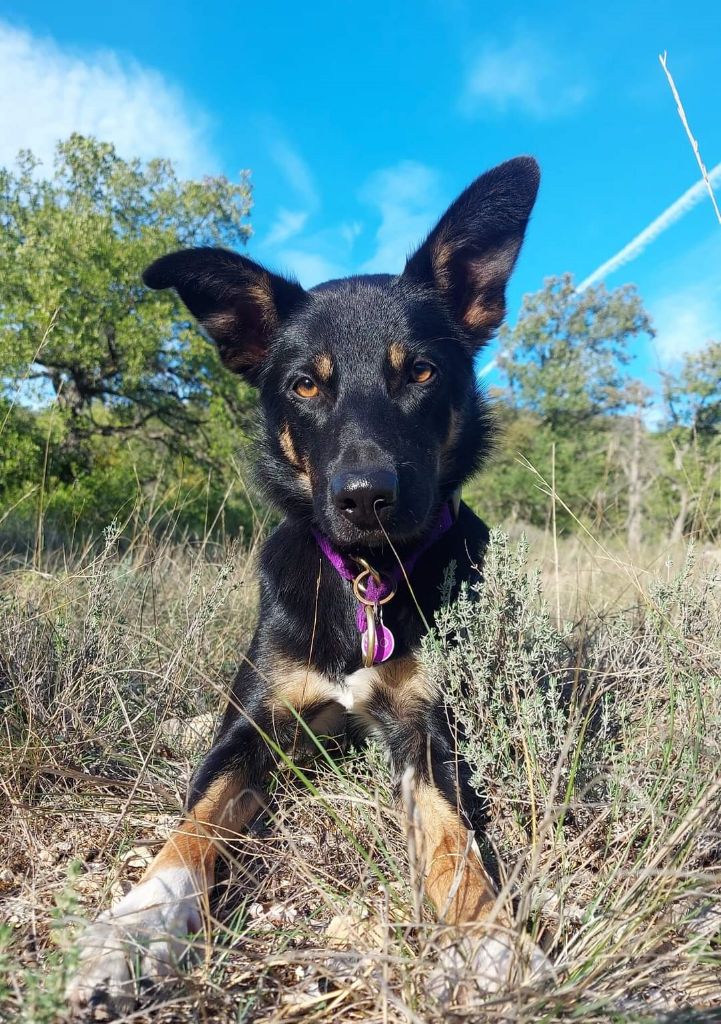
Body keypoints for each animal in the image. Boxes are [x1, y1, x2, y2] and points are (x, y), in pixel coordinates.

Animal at [66, 155, 540, 1011]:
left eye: (420, 371)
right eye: (305, 385)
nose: (365, 497)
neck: (365, 579)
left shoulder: (427, 733)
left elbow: (453, 845)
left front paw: (488, 944)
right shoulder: (251, 730)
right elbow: (189, 829)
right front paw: (134, 927)